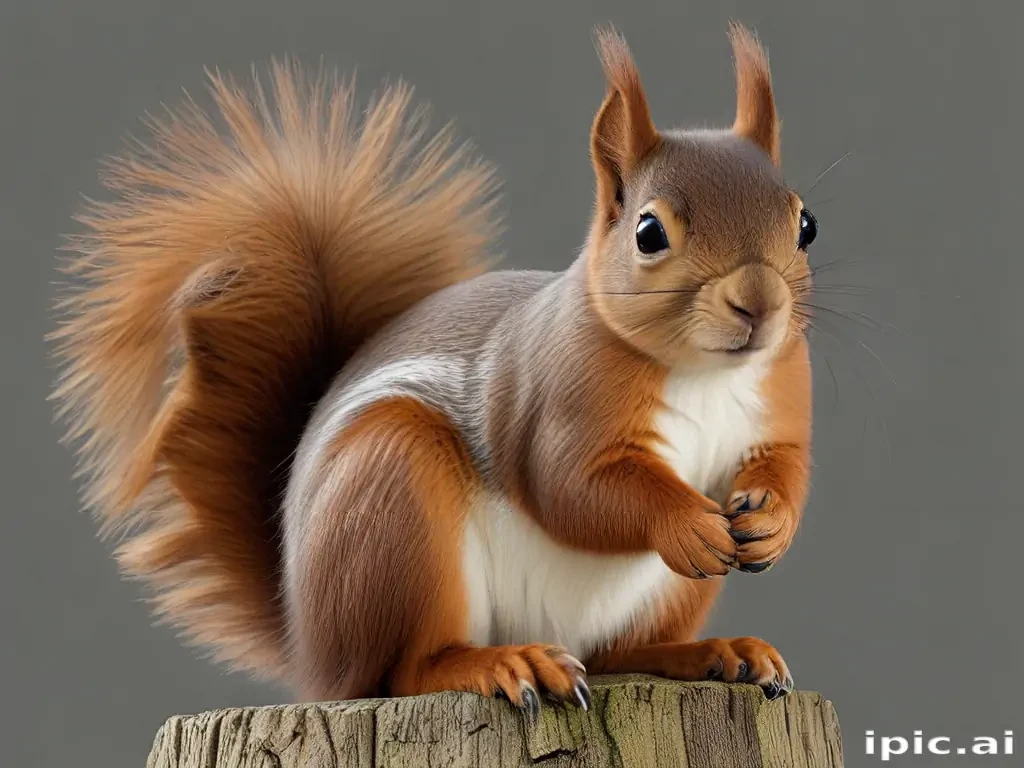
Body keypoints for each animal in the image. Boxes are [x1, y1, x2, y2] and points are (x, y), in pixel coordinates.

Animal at [51, 22, 815, 715]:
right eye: (649, 233)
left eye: (806, 224)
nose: (758, 304)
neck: (704, 373)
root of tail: (311, 650)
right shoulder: (558, 399)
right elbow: (574, 486)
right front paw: (684, 520)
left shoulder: (780, 396)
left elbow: (784, 464)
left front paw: (773, 519)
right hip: (391, 504)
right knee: (404, 671)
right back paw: (504, 664)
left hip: (662, 594)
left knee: (613, 655)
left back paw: (711, 654)